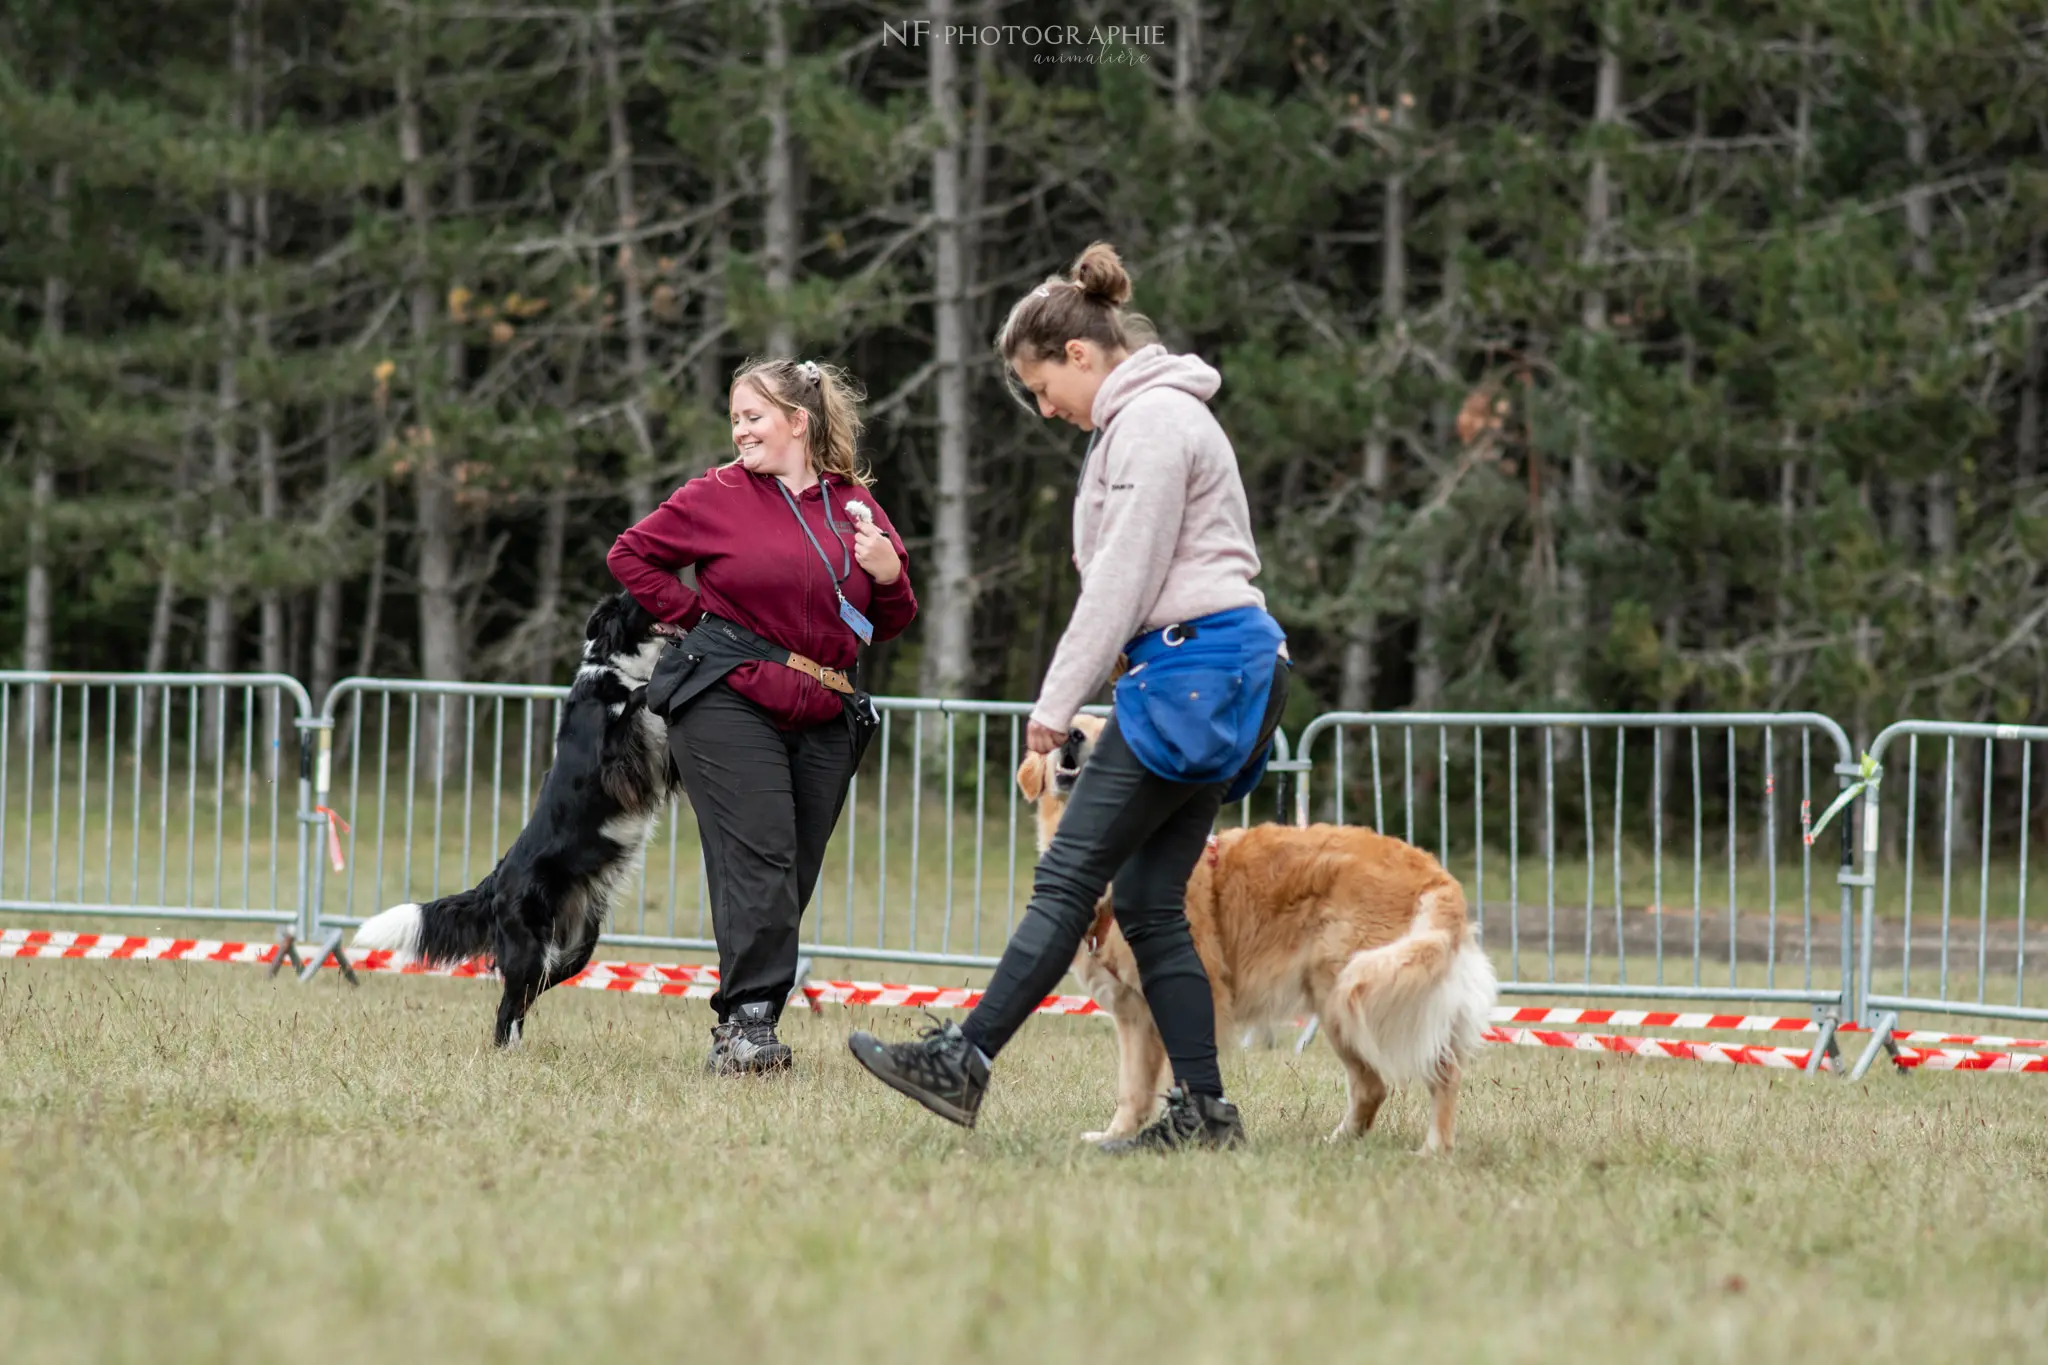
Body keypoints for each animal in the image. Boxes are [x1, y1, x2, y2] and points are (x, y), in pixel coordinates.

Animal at [1019, 716, 1490, 1154]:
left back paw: (1432, 1149)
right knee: (1392, 1081)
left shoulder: (1191, 994)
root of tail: (1435, 873)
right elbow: (1132, 1090)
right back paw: (1346, 1142)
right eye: (1077, 721)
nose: (1072, 735)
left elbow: (1177, 1072)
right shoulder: (1133, 1014)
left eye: (1108, 728)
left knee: (1423, 1075)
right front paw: (1114, 1135)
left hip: (1357, 993)